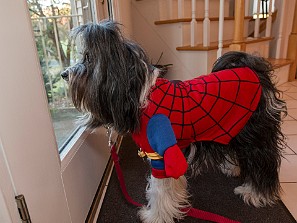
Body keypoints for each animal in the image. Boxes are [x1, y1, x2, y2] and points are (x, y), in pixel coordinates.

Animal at [61, 20, 286, 222]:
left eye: (88, 59)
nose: (64, 74)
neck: (140, 97)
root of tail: (254, 71)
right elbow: (170, 186)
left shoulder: (160, 154)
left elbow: (159, 191)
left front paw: (155, 216)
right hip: (232, 126)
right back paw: (232, 168)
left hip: (255, 135)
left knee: (264, 163)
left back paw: (256, 193)